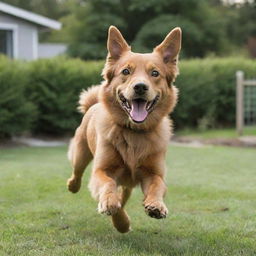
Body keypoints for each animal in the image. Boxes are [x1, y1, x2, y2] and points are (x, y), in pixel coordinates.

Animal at [67, 25, 181, 232]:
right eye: (126, 71)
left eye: (155, 73)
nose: (140, 87)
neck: (134, 132)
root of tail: (93, 104)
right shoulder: (102, 171)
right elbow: (108, 186)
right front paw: (111, 206)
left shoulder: (154, 173)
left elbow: (157, 186)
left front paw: (156, 205)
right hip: (81, 152)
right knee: (77, 171)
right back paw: (73, 185)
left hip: (128, 182)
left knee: (124, 194)